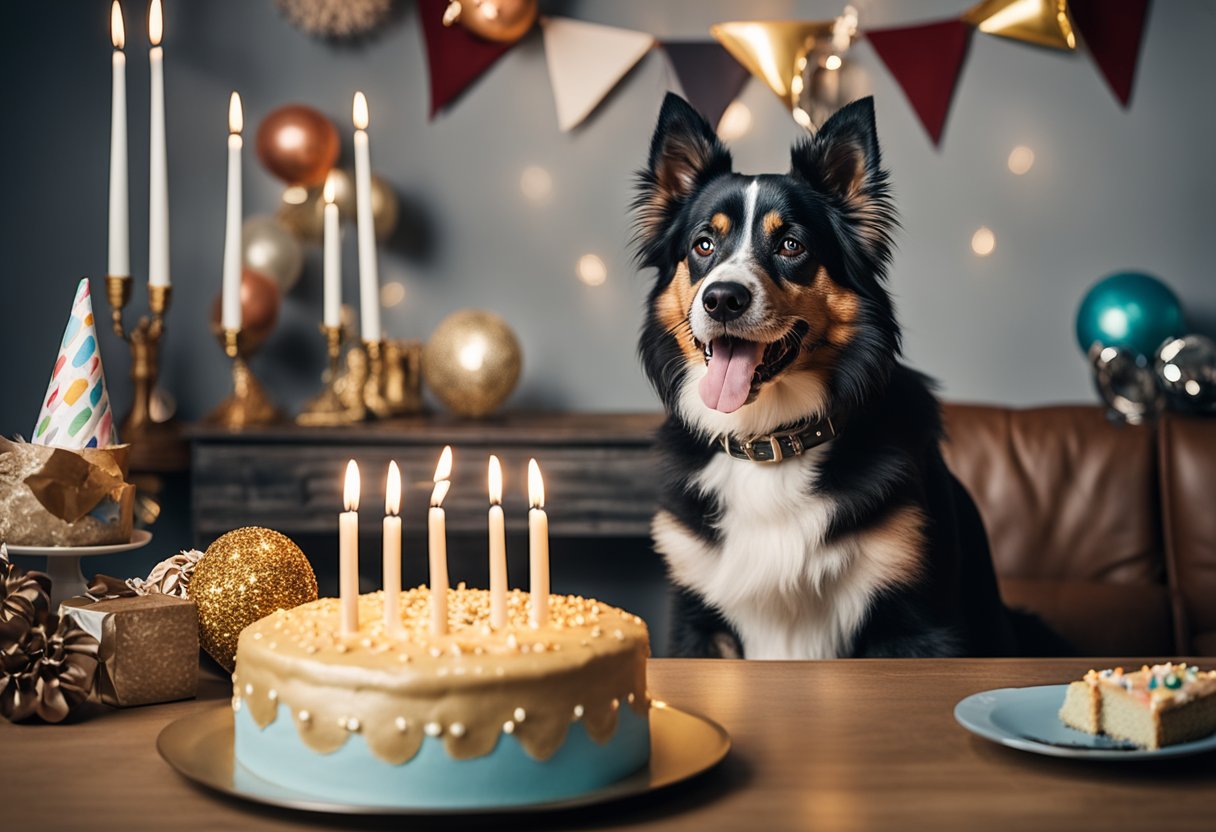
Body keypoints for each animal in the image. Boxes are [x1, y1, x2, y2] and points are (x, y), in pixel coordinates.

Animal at [632, 92, 1050, 661]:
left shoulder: (917, 623)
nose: (721, 299)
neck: (772, 444)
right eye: (703, 245)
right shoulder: (696, 620)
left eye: (791, 246)